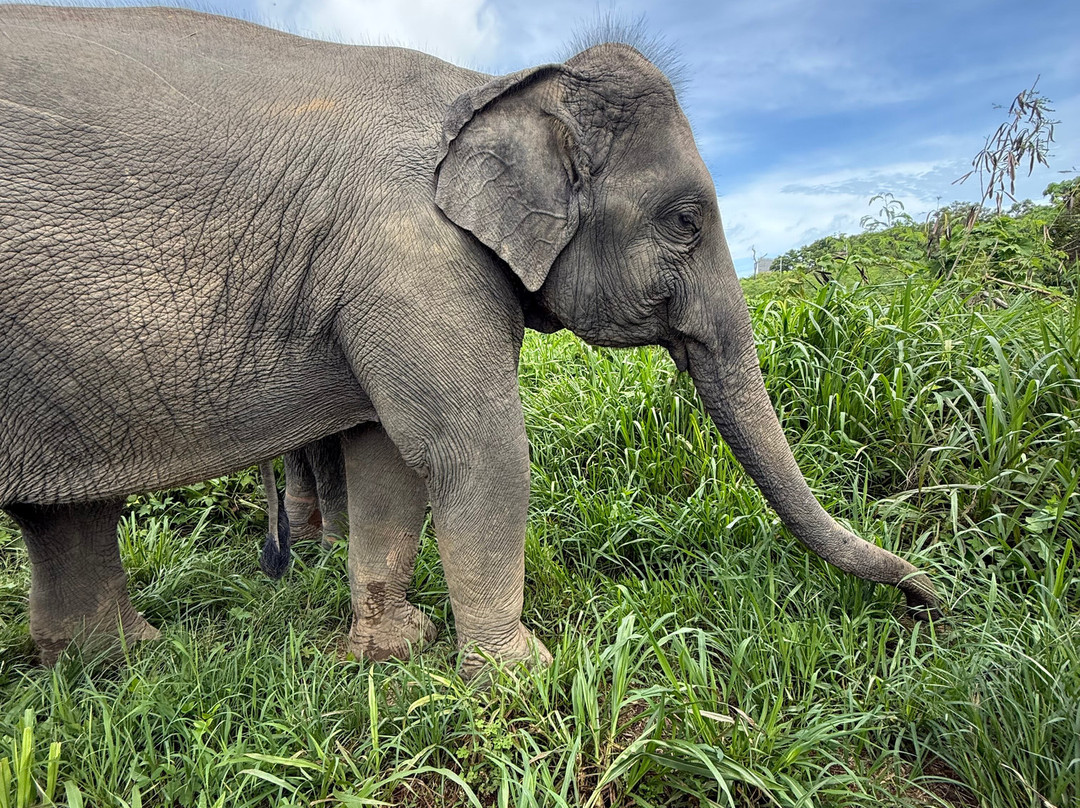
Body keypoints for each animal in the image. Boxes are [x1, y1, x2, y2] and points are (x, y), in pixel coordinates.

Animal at [0, 6, 939, 675]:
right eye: (685, 219)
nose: (926, 598)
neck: (493, 85)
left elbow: (385, 456)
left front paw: (393, 650)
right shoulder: (412, 258)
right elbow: (475, 447)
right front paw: (525, 678)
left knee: (64, 512)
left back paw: (125, 665)